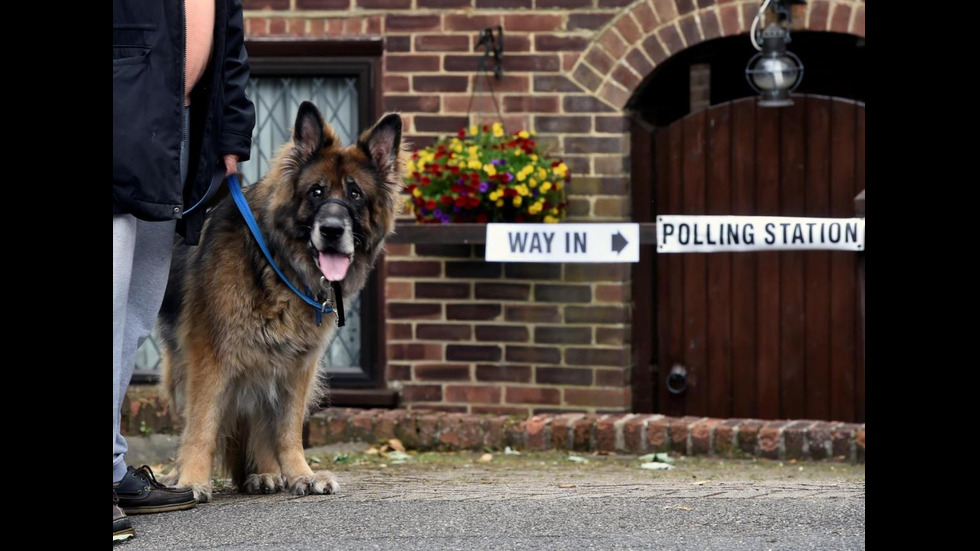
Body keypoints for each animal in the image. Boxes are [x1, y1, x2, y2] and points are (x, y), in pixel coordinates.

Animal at [159, 101, 404, 502]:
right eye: (317, 192)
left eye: (355, 195)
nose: (332, 231)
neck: (277, 262)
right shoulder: (210, 357)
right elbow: (202, 424)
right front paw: (192, 479)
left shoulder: (298, 364)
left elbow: (288, 429)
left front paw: (300, 473)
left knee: (262, 420)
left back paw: (265, 472)